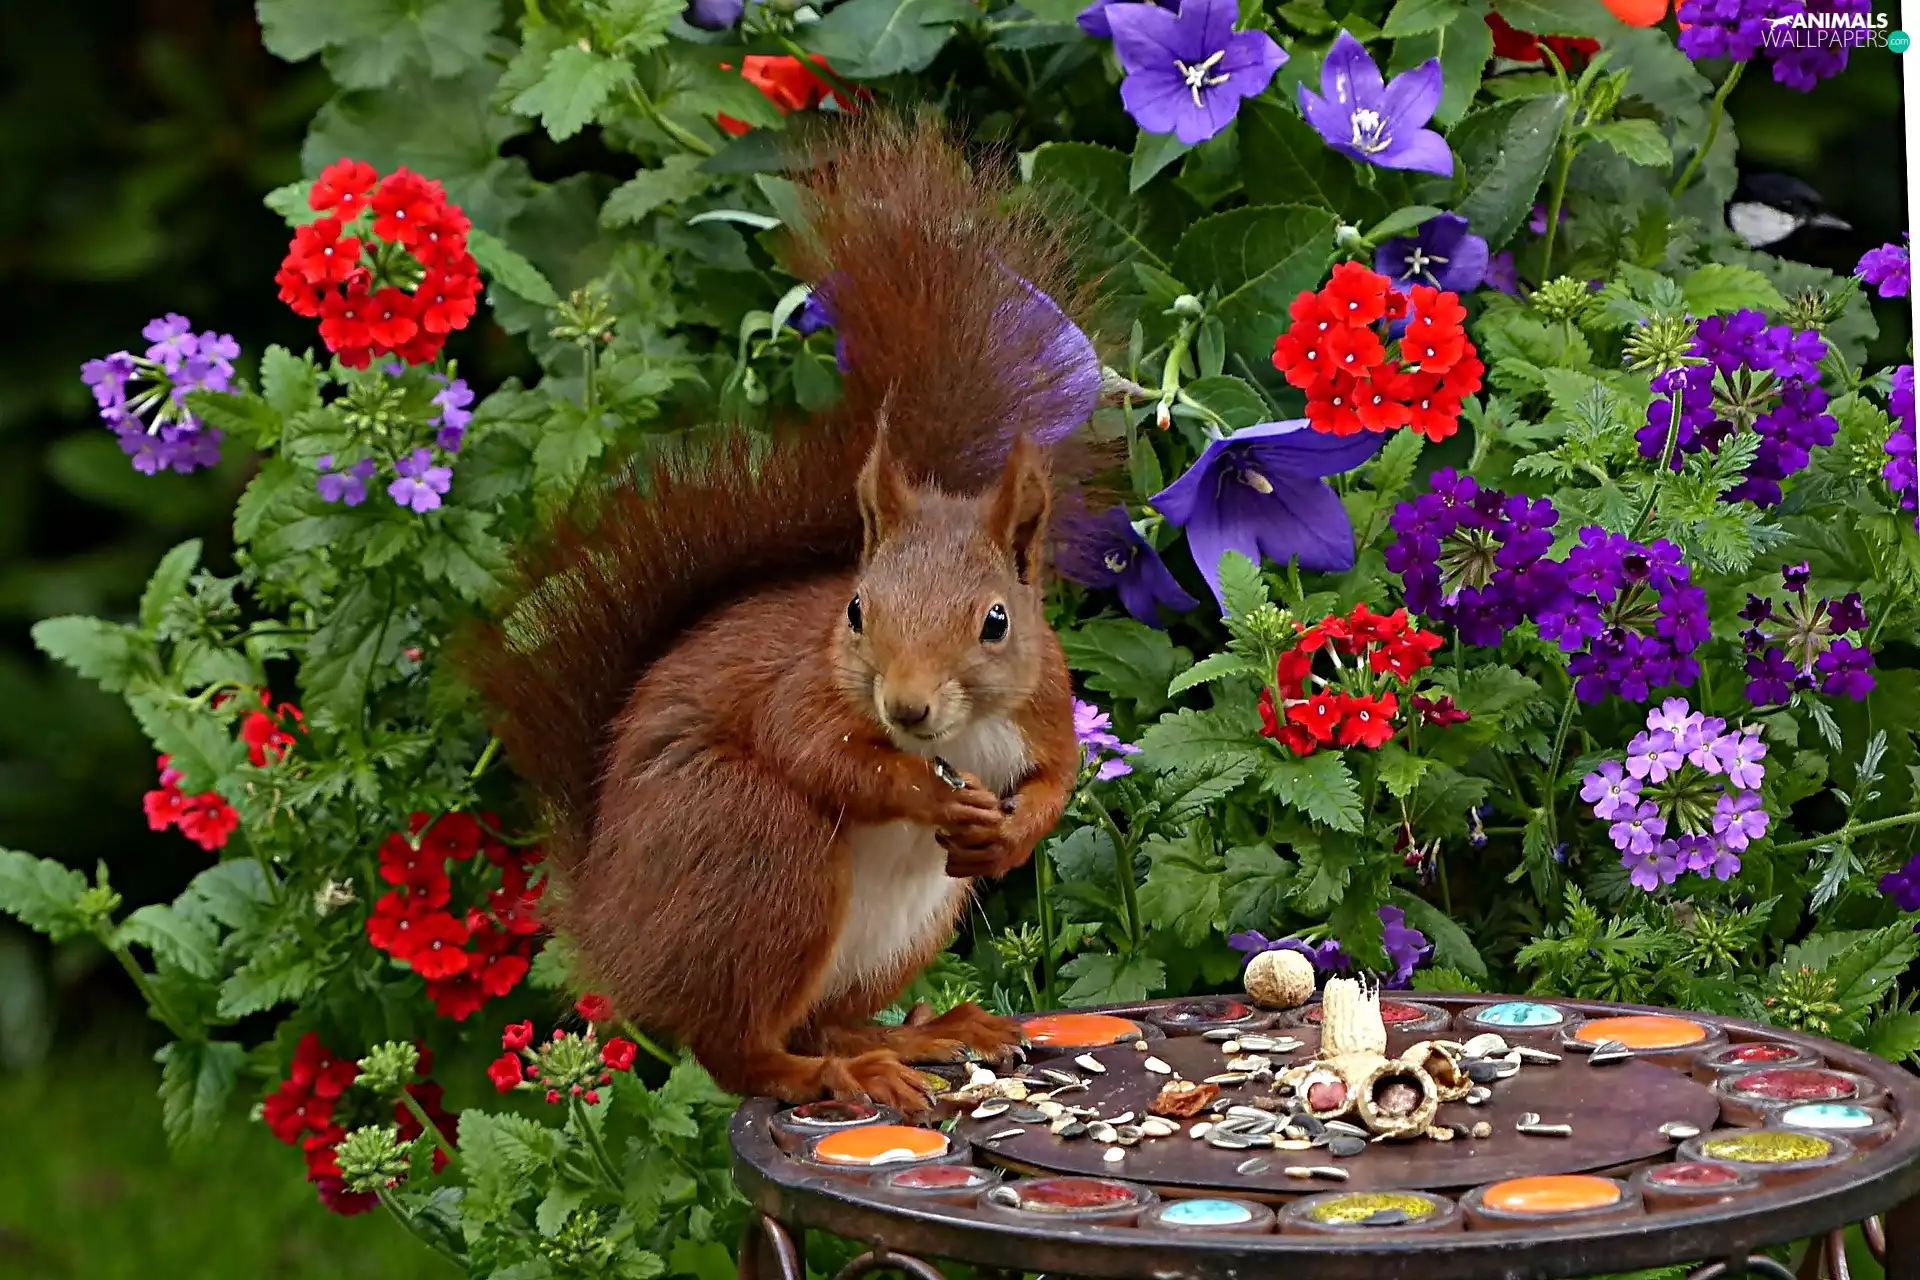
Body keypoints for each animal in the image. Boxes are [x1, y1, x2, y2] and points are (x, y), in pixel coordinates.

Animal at [462, 114, 1108, 1112]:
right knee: (744, 1051)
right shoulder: (801, 691)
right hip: (761, 846)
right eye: (856, 609)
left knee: (818, 1017)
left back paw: (923, 1035)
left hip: (901, 926)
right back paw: (846, 1071)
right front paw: (926, 793)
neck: (951, 736)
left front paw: (1012, 828)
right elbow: (815, 750)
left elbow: (1059, 777)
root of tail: (614, 932)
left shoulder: (1044, 702)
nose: (907, 707)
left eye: (998, 621)